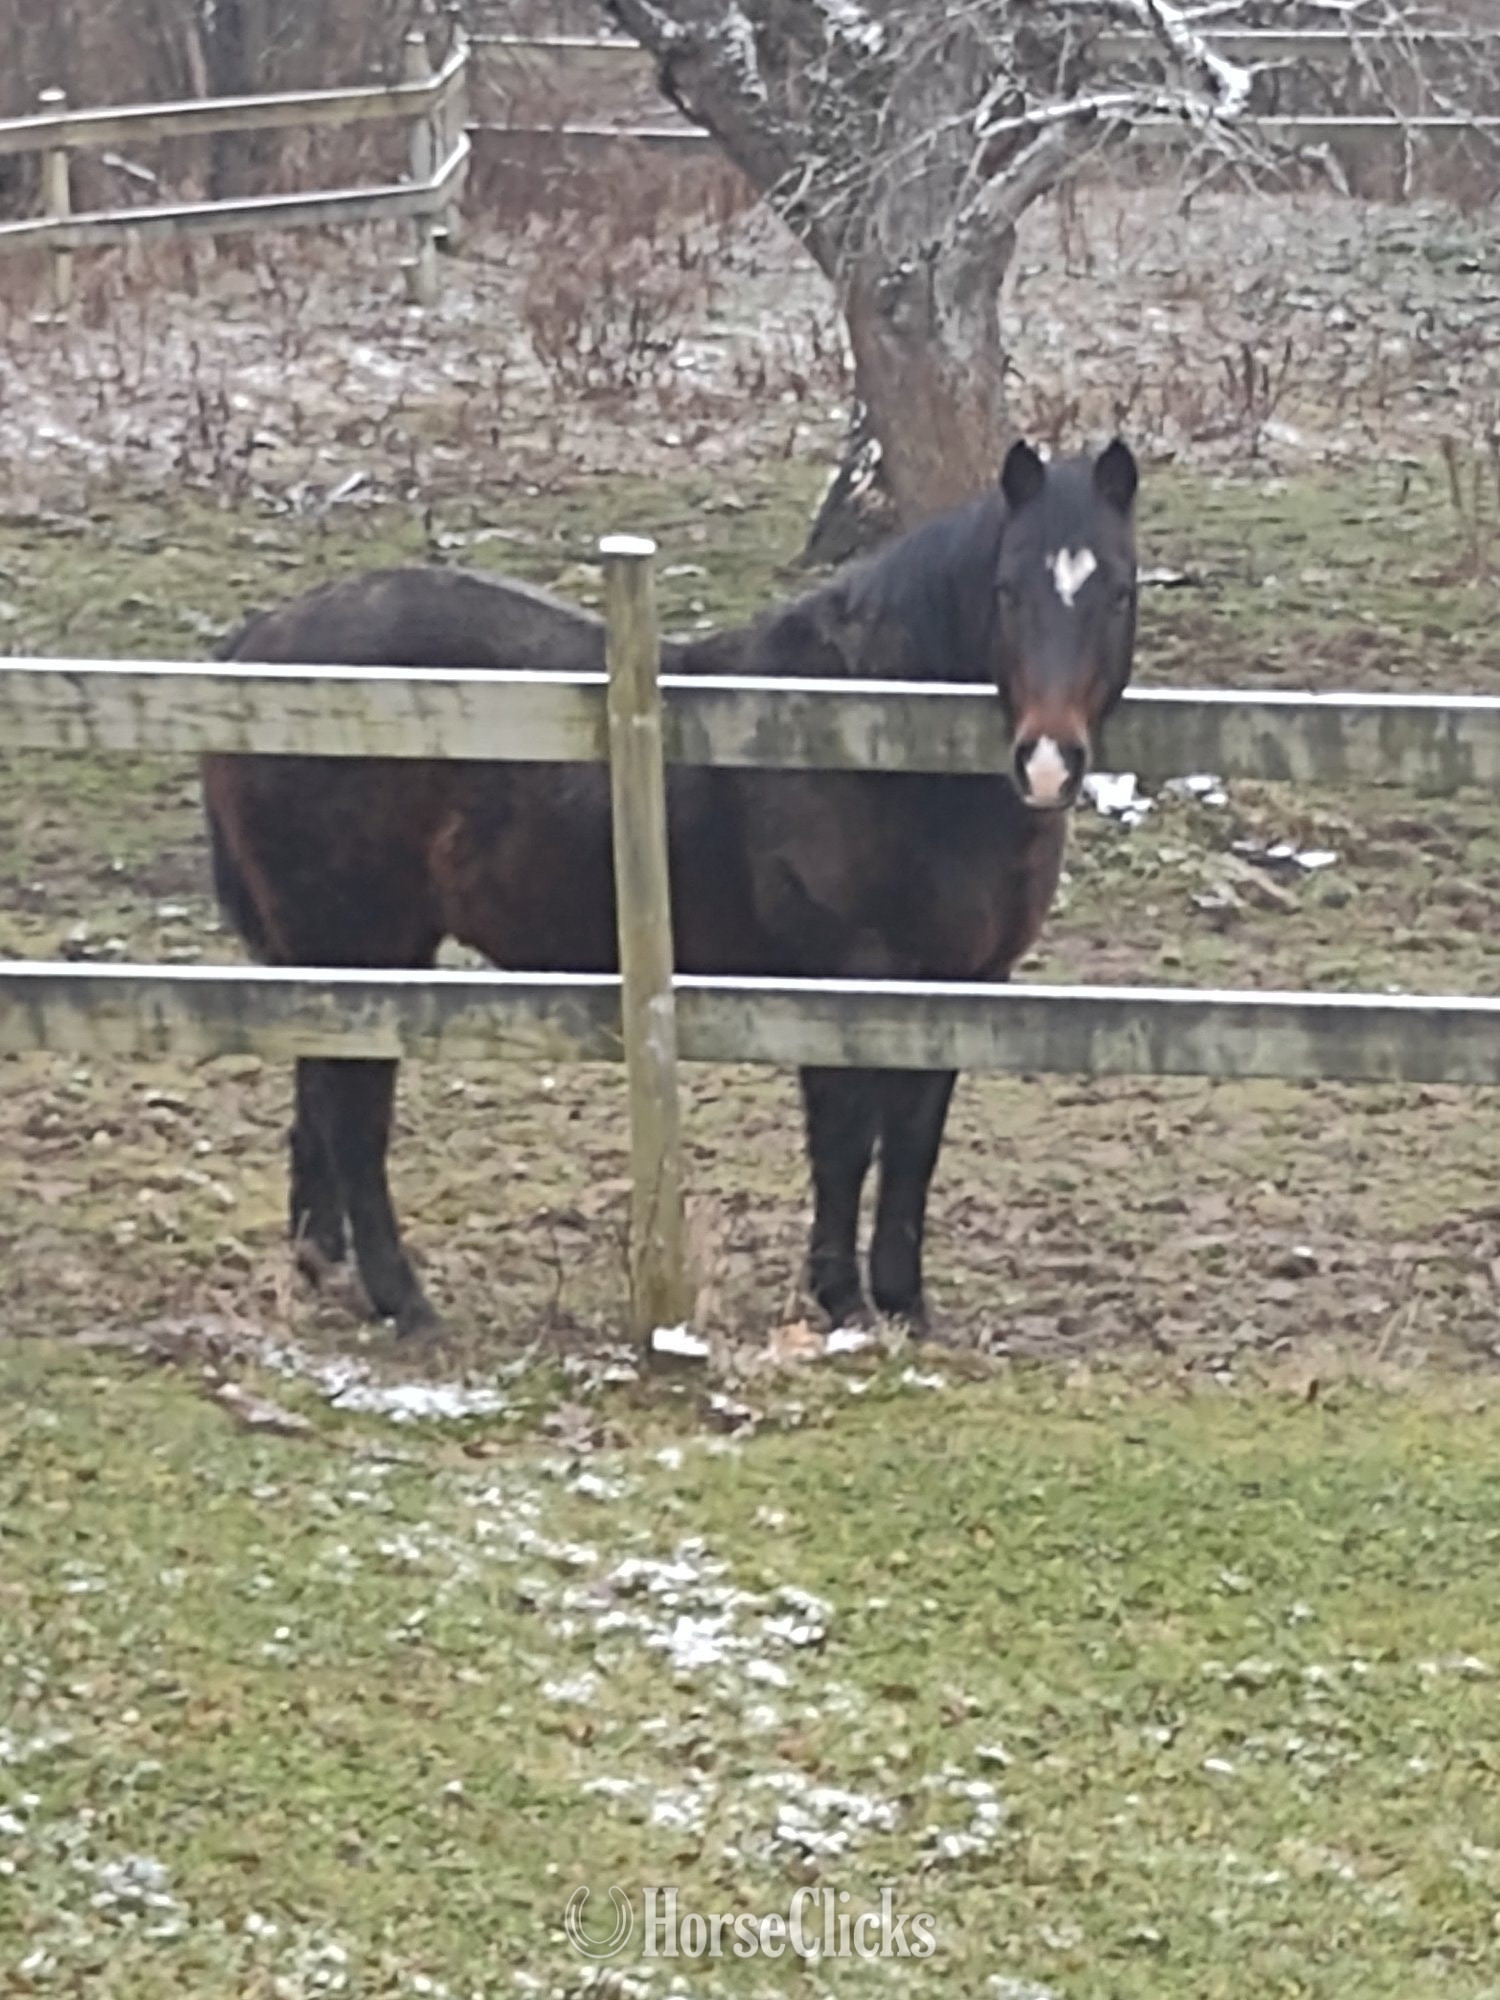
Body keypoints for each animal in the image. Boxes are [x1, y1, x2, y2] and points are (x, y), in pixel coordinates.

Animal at [202, 436, 1140, 1339]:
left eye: (1119, 593)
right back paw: (405, 1302)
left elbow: (913, 1146)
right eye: (1007, 591)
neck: (868, 737)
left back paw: (327, 1270)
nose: (1048, 762)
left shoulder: (966, 985)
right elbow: (844, 1141)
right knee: (355, 1117)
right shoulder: (844, 981)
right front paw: (841, 1300)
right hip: (363, 947)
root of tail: (258, 649)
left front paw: (904, 1302)